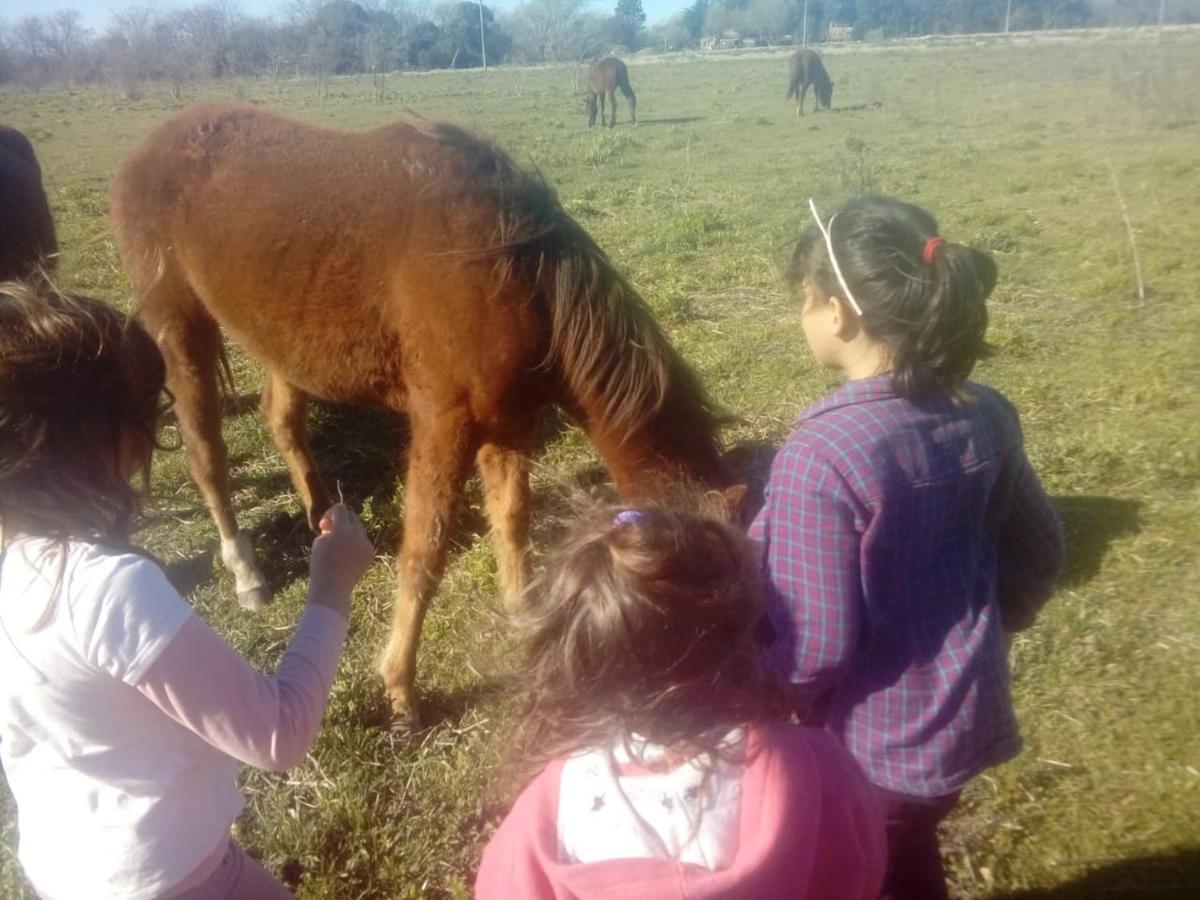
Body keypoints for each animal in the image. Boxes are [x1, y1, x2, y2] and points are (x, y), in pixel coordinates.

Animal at [112, 103, 734, 724]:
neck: (514, 272)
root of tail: (148, 147)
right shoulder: (445, 426)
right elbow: (426, 550)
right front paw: (399, 686)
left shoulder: (510, 427)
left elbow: (511, 523)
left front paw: (523, 620)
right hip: (179, 328)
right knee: (206, 453)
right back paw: (246, 573)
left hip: (280, 347)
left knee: (282, 421)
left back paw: (320, 515)